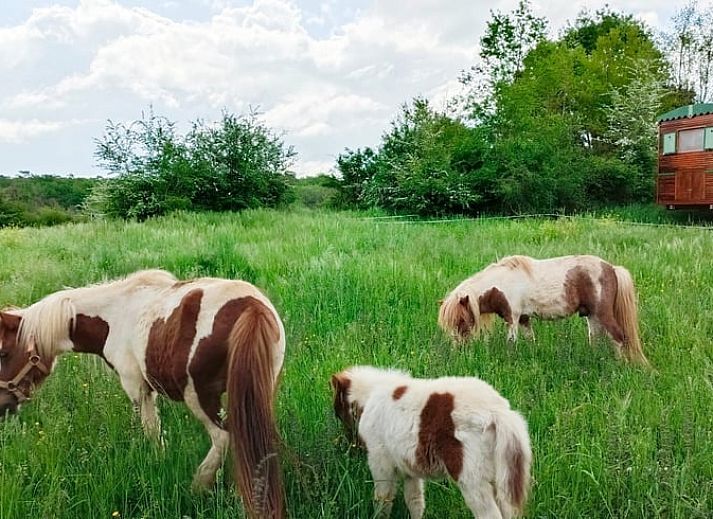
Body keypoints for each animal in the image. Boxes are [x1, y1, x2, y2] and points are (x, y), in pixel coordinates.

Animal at [0, 270, 284, 516]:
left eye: (3, 353)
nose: (3, 406)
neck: (113, 315)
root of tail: (251, 308)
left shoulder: (137, 387)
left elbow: (151, 430)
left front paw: (159, 461)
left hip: (200, 397)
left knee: (224, 437)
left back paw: (198, 485)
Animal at [330, 366, 528, 519]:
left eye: (338, 412)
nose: (351, 446)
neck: (371, 396)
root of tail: (497, 412)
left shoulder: (380, 462)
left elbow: (383, 500)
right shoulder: (409, 467)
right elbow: (415, 501)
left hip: (472, 478)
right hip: (501, 477)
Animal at [436, 256, 648, 366]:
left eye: (462, 320)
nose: (458, 350)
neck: (501, 283)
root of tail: (612, 268)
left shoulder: (512, 318)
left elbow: (511, 343)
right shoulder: (523, 318)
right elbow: (530, 339)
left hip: (603, 314)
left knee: (618, 337)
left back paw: (619, 365)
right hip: (592, 316)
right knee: (595, 337)